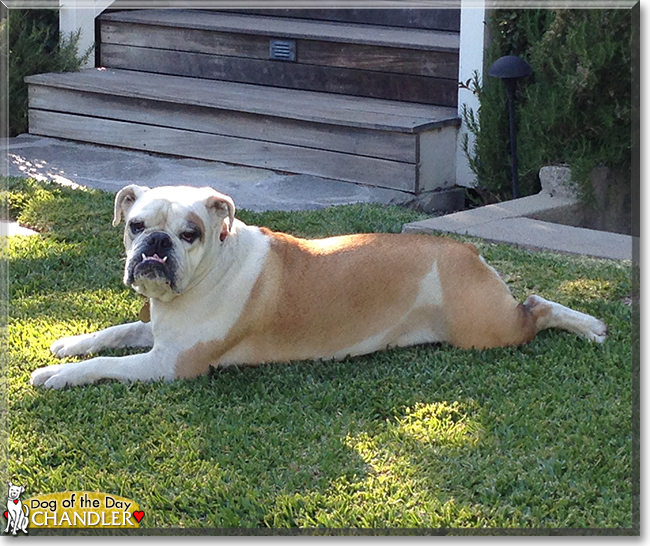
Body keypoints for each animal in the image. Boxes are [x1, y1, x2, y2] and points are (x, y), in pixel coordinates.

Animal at [31, 185, 608, 388]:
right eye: (135, 224)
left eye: (188, 233)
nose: (155, 244)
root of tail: (465, 250)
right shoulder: (157, 335)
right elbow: (114, 333)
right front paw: (69, 344)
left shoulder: (168, 365)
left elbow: (108, 364)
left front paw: (59, 374)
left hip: (486, 330)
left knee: (536, 308)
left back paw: (588, 325)